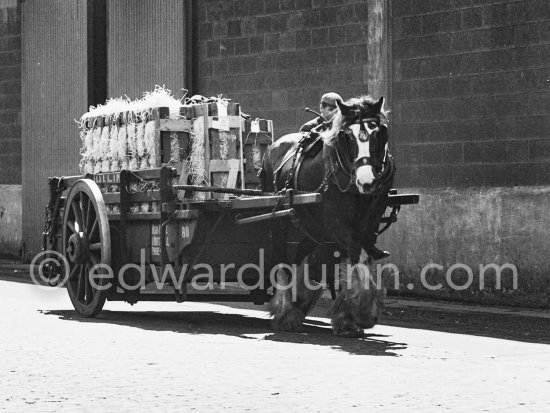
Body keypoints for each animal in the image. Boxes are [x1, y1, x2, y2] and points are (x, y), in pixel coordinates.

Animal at [260, 95, 394, 336]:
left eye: (378, 133)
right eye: (347, 136)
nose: (366, 181)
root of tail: (272, 147)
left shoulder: (369, 224)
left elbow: (357, 258)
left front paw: (348, 316)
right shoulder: (336, 225)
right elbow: (356, 256)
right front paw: (362, 312)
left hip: (309, 225)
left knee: (302, 258)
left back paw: (298, 301)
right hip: (278, 219)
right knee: (282, 258)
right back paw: (285, 310)